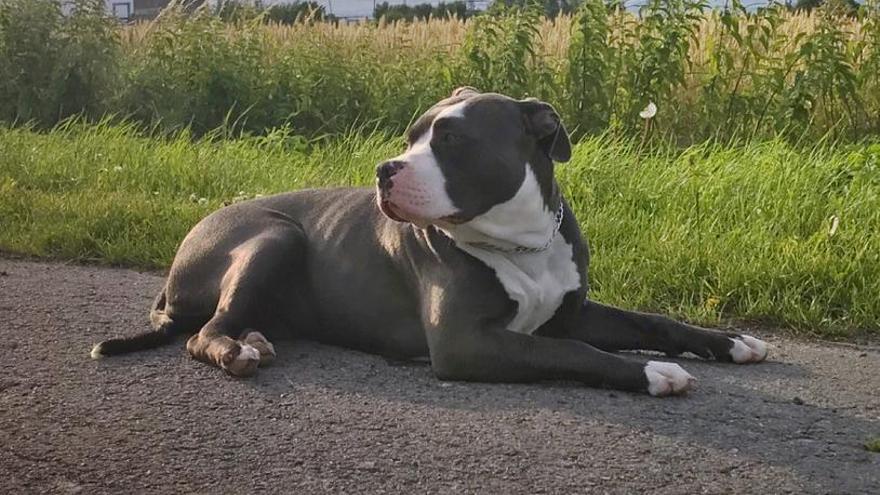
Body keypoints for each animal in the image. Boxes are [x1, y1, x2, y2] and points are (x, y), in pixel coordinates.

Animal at [91, 87, 764, 398]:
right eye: (411, 136)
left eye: (451, 140)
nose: (384, 169)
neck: (520, 242)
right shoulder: (468, 342)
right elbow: (575, 354)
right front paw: (653, 372)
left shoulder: (572, 312)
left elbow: (651, 320)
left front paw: (730, 342)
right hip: (273, 236)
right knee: (205, 332)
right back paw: (237, 350)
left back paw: (254, 337)